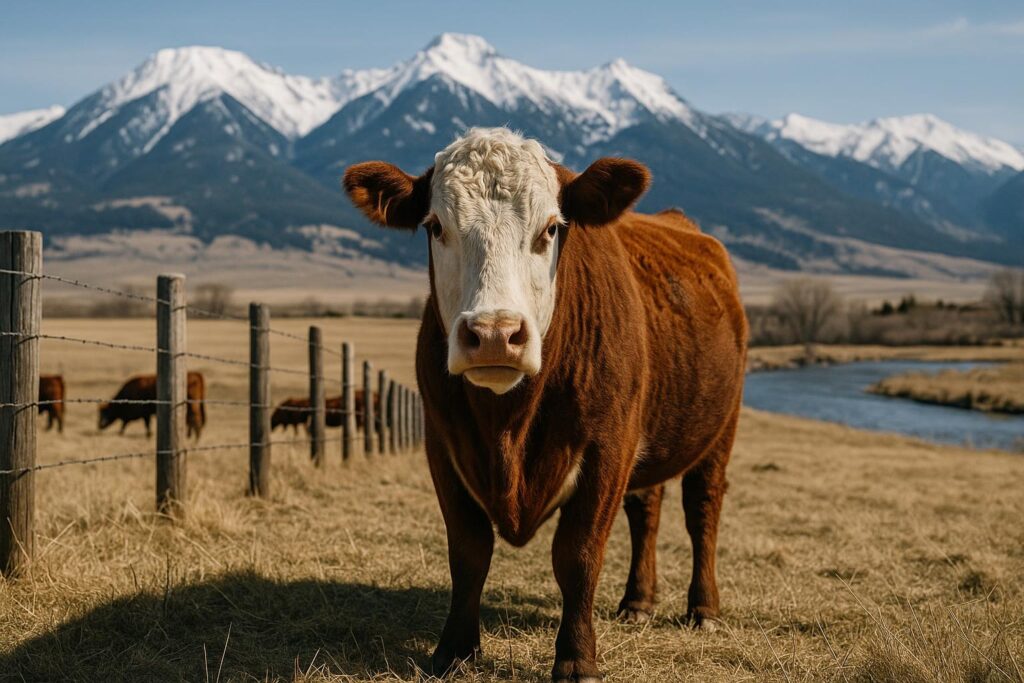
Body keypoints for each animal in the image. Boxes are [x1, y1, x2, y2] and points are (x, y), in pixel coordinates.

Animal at [343, 127, 747, 681]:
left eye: (551, 228)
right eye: (435, 225)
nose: (494, 334)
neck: (507, 426)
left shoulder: (607, 449)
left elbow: (577, 555)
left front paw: (577, 659)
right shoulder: (442, 445)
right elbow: (469, 551)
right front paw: (454, 650)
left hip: (719, 429)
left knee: (702, 508)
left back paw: (703, 607)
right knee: (646, 507)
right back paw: (637, 601)